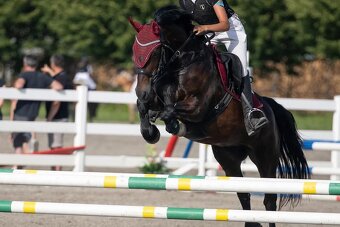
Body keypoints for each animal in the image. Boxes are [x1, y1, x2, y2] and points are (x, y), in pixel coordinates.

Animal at [129, 5, 310, 227]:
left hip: (265, 156)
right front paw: (151, 131)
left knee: (270, 198)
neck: (182, 63)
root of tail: (269, 107)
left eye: (155, 52)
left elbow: (170, 111)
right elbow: (145, 109)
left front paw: (175, 125)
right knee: (244, 194)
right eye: (135, 52)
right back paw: (251, 222)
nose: (142, 92)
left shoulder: (197, 107)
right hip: (228, 158)